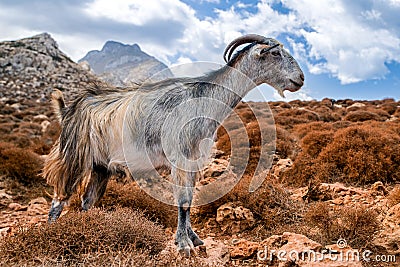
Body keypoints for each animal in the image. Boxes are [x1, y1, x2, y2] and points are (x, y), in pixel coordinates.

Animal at [43, 33, 304, 258]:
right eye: (276, 53)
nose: (300, 79)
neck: (206, 98)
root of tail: (68, 110)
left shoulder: (194, 160)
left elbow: (189, 199)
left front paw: (194, 239)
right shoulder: (180, 157)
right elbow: (184, 201)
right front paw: (183, 245)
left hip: (101, 166)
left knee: (87, 201)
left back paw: (88, 227)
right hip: (74, 156)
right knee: (59, 199)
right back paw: (51, 234)